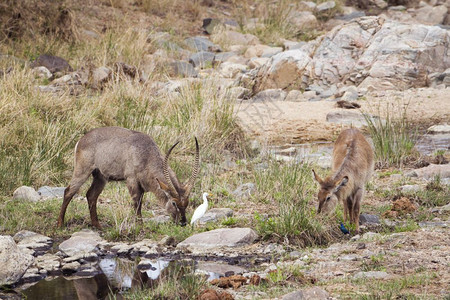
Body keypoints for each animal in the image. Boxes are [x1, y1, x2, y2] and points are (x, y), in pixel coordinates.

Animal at [55, 126, 199, 227]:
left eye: (187, 203)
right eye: (174, 202)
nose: (183, 223)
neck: (146, 154)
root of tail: (82, 139)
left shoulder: (141, 185)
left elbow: (139, 203)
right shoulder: (131, 180)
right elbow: (137, 204)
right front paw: (140, 226)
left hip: (101, 177)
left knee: (91, 195)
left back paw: (97, 226)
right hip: (82, 171)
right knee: (68, 191)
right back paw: (60, 224)